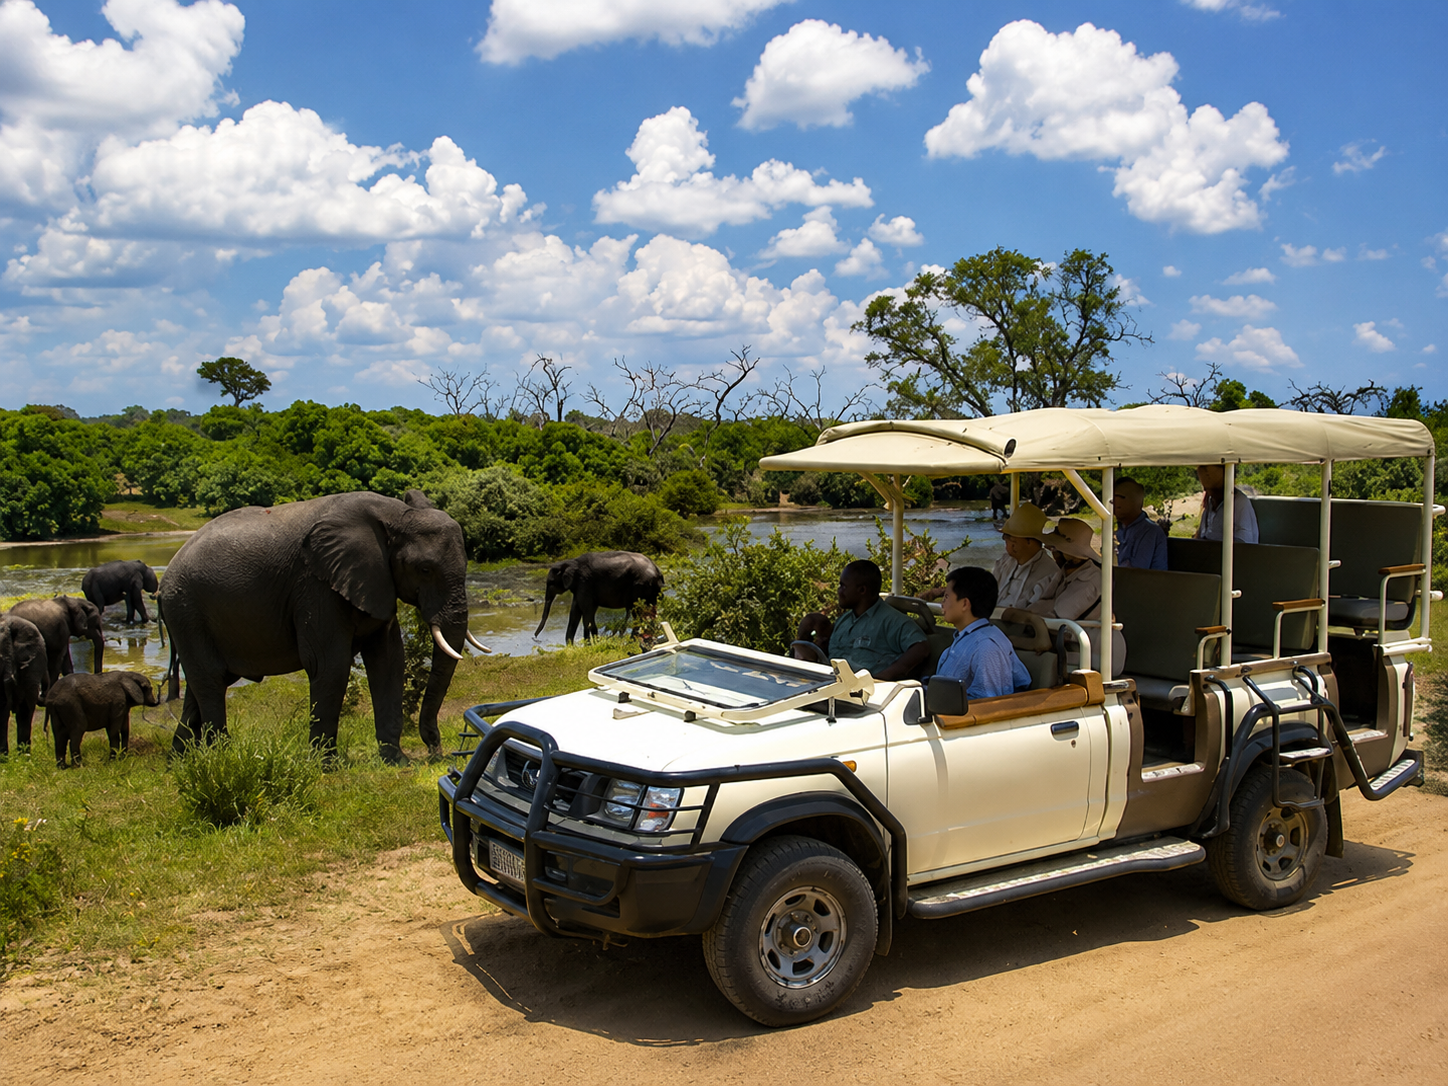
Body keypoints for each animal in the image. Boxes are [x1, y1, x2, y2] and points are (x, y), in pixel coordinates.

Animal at [159, 490, 486, 763]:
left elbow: (390, 662)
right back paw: (222, 758)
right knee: (211, 681)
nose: (435, 749)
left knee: (202, 685)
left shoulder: (377, 582)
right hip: (186, 610)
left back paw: (179, 760)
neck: (395, 514)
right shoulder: (316, 585)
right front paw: (326, 766)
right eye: (425, 569)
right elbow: (330, 665)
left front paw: (396, 761)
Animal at [534, 550, 664, 645]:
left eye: (551, 583)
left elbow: (587, 612)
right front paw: (573, 647)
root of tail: (657, 570)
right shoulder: (580, 587)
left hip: (639, 586)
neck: (569, 562)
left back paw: (632, 641)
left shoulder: (584, 582)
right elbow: (575, 613)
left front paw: (589, 645)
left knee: (638, 612)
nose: (535, 637)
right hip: (649, 590)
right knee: (649, 610)